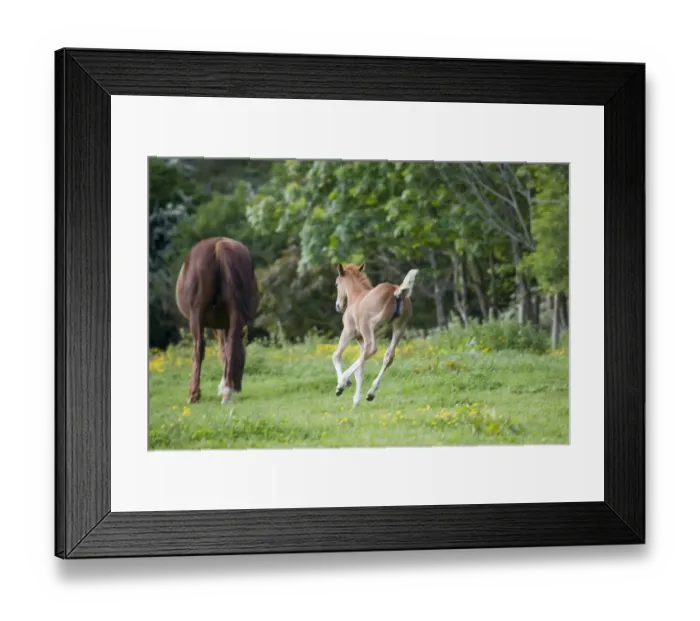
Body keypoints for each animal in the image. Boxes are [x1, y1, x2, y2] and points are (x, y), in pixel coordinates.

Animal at [175, 237, 259, 404]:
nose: (238, 387)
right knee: (232, 344)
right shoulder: (225, 324)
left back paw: (194, 394)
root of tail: (219, 246)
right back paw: (227, 392)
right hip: (234, 314)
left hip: (196, 315)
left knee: (199, 349)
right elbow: (225, 350)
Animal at [332, 263, 418, 407]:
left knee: (372, 349)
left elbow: (336, 355)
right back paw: (371, 393)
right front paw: (356, 400)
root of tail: (396, 291)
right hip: (399, 329)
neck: (356, 297)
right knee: (388, 356)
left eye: (337, 283)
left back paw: (343, 381)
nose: (338, 306)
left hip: (369, 326)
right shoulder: (360, 340)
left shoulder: (348, 331)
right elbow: (361, 368)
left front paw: (341, 385)